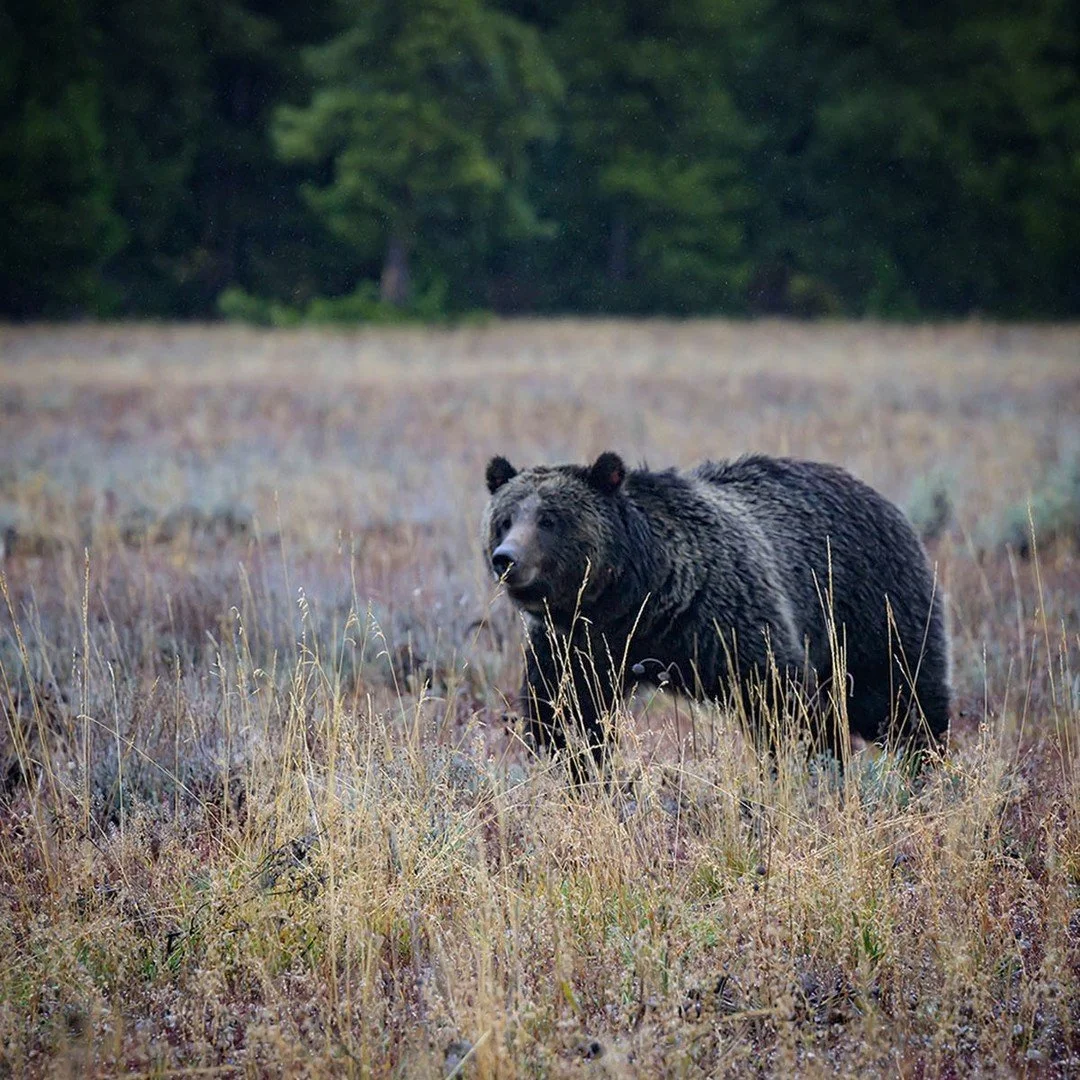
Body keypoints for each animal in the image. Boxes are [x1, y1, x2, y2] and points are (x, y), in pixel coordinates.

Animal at [483, 451, 950, 770]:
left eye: (549, 520)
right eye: (505, 519)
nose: (507, 559)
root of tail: (879, 497)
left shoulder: (725, 619)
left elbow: (784, 700)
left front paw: (811, 762)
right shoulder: (577, 642)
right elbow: (565, 713)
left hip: (870, 606)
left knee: (902, 695)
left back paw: (925, 764)